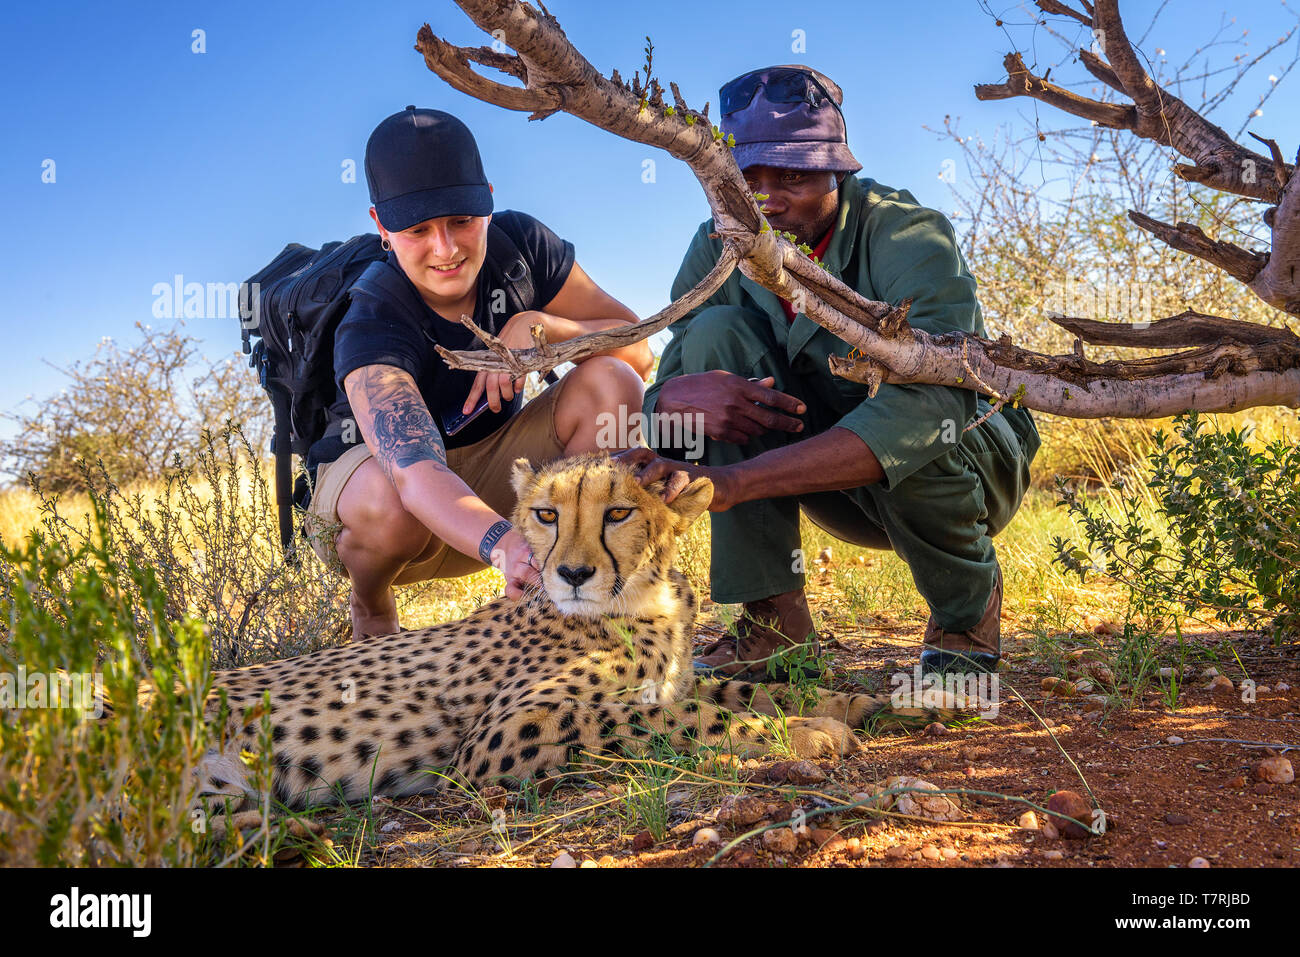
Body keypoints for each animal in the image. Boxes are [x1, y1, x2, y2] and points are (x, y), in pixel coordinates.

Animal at [195, 455, 956, 806]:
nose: (573, 573)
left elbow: (747, 690)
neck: (649, 599)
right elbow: (667, 718)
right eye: (546, 514)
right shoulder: (498, 740)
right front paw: (804, 733)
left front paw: (857, 703)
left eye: (618, 512)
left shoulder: (678, 675)